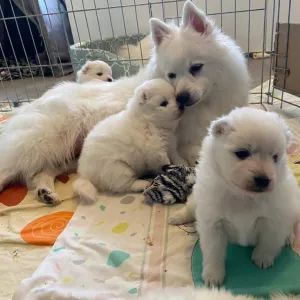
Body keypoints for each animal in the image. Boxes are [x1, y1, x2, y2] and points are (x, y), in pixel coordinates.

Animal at [0, 0, 248, 204]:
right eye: (171, 75)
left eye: (196, 67)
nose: (182, 98)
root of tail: (34, 100)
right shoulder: (185, 144)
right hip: (42, 144)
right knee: (13, 169)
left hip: (62, 155)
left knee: (36, 175)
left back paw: (46, 193)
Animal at [169, 108, 300, 288]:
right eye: (242, 153)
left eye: (275, 157)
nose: (263, 180)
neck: (243, 196)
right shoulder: (213, 223)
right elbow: (213, 253)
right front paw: (213, 276)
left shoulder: (274, 220)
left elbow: (269, 242)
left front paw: (262, 258)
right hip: (197, 198)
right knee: (189, 207)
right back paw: (176, 217)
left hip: (293, 203)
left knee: (291, 222)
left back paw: (288, 236)